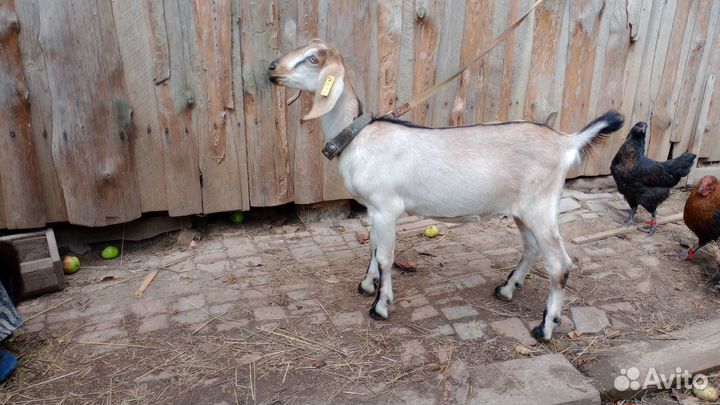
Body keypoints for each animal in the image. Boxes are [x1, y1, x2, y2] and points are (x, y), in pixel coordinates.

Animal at [267, 39, 623, 341]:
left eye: (312, 59)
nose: (272, 68)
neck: (358, 137)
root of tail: (566, 142)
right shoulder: (372, 209)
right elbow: (371, 246)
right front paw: (367, 285)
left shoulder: (386, 208)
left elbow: (384, 256)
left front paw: (381, 306)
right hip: (525, 209)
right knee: (532, 247)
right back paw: (507, 288)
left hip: (540, 206)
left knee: (560, 265)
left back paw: (545, 327)